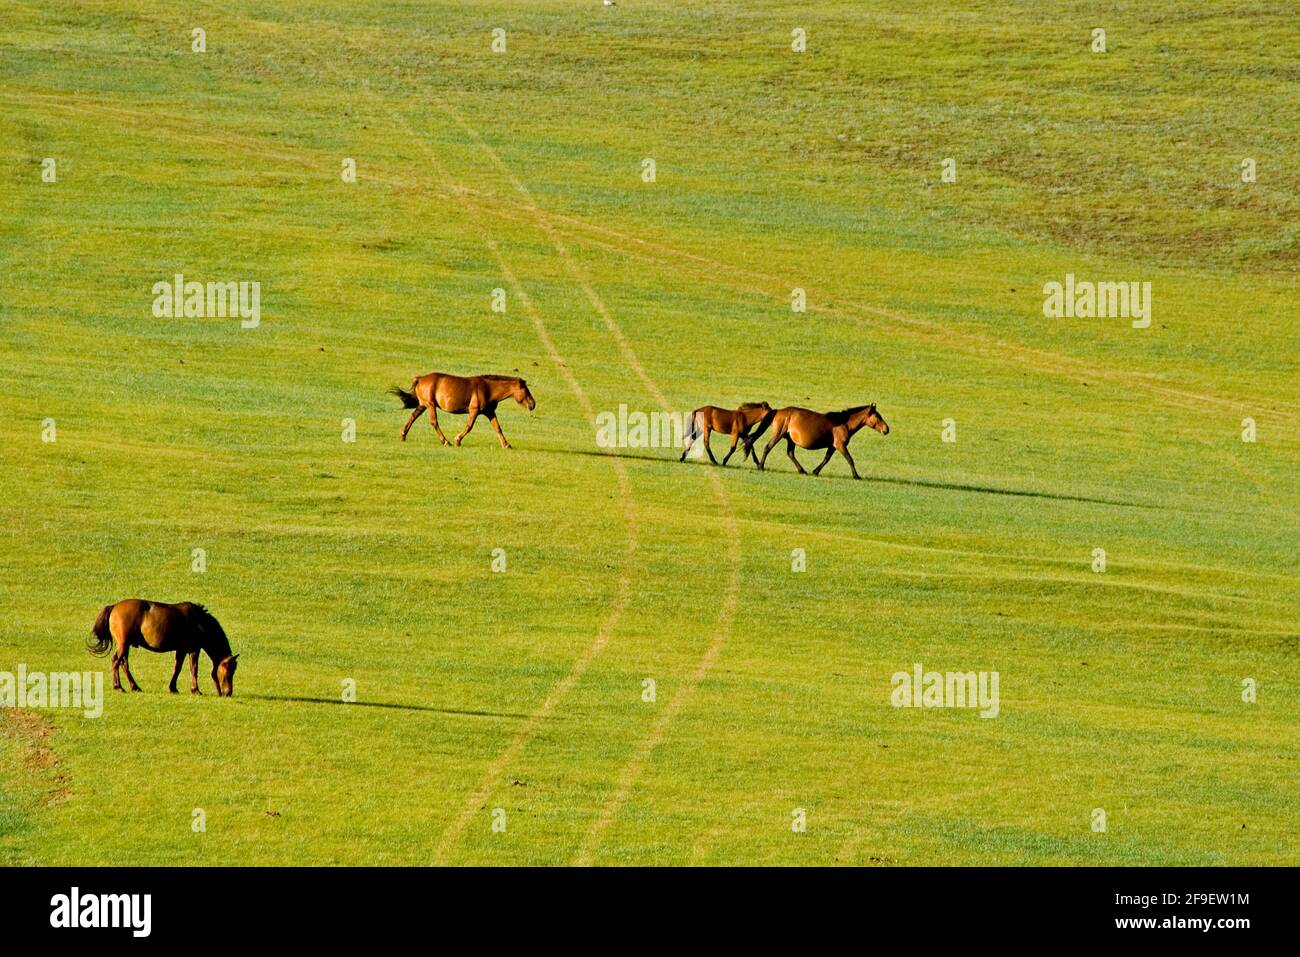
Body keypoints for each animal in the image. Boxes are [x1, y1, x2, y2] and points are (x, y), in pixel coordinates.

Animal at [88, 599, 239, 696]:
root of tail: (114, 607)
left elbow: (177, 668)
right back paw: (118, 687)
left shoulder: (182, 650)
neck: (200, 622)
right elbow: (193, 669)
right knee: (116, 661)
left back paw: (135, 687)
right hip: (123, 644)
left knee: (124, 664)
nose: (228, 693)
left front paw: (173, 688)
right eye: (228, 673)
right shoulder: (194, 649)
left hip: (125, 645)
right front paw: (195, 690)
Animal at [393, 372, 535, 447]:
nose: (533, 405)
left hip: (423, 405)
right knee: (434, 422)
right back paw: (446, 441)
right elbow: (469, 426)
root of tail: (420, 378)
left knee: (412, 417)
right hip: (430, 405)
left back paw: (403, 436)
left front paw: (506, 444)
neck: (488, 389)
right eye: (525, 390)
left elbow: (498, 428)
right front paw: (457, 440)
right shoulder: (474, 411)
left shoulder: (489, 412)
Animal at [750, 404, 889, 480]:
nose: (887, 429)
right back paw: (760, 466)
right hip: (778, 434)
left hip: (790, 439)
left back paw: (802, 470)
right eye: (877, 416)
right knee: (768, 447)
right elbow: (850, 459)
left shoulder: (832, 447)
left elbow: (826, 459)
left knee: (790, 454)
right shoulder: (840, 445)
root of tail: (778, 411)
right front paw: (856, 476)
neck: (844, 423)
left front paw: (815, 471)